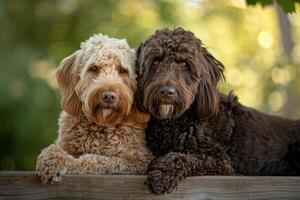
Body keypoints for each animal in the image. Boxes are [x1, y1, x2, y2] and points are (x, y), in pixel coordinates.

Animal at [36, 33, 152, 184]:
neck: (102, 124)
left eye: (122, 70)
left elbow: (93, 160)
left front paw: (62, 160)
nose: (109, 96)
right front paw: (51, 156)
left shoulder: (137, 159)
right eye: (94, 68)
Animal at [136, 27, 300, 194]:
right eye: (155, 62)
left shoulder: (222, 162)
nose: (167, 92)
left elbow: (186, 157)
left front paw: (162, 173)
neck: (176, 121)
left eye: (183, 64)